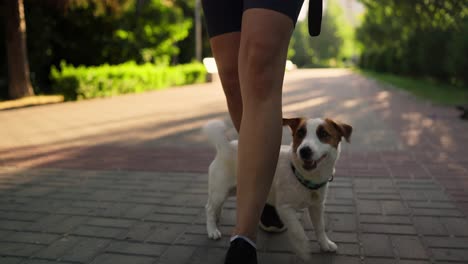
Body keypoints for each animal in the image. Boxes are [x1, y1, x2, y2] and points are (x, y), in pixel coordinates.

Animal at [203, 117, 352, 260]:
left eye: (323, 134)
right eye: (300, 133)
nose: (304, 151)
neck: (302, 175)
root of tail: (225, 146)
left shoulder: (317, 206)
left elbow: (320, 227)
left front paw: (325, 244)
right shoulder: (284, 208)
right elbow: (298, 230)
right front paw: (303, 248)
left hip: (233, 190)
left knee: (216, 205)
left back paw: (216, 217)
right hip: (220, 191)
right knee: (209, 207)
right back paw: (212, 229)